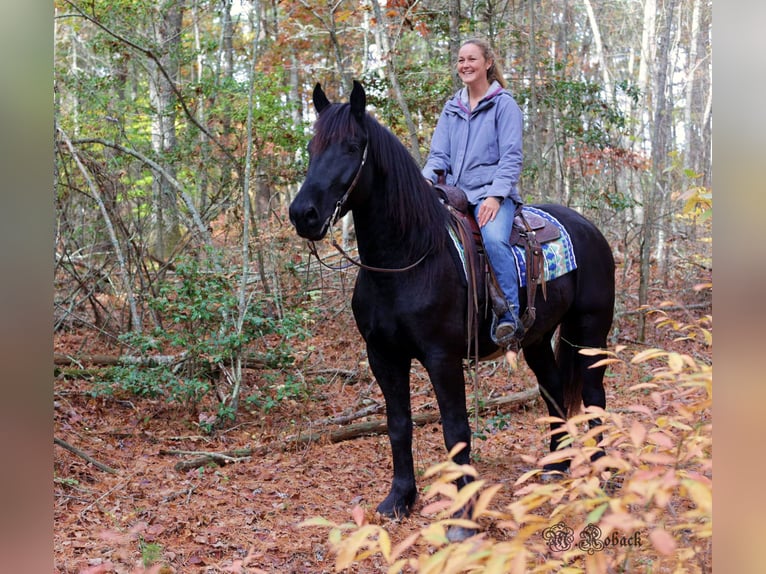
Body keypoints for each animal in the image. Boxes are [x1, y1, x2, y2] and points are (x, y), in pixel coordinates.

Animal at [290, 82, 616, 520]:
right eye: (312, 147)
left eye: (351, 146)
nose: (303, 214)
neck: (408, 258)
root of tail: (588, 228)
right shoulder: (383, 356)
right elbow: (399, 424)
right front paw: (400, 498)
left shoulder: (441, 357)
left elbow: (455, 429)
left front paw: (463, 510)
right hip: (536, 338)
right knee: (552, 390)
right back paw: (556, 467)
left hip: (590, 331)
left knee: (594, 396)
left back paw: (602, 472)